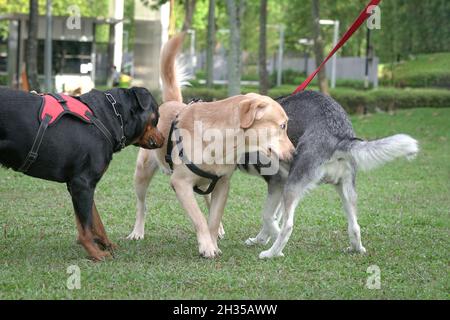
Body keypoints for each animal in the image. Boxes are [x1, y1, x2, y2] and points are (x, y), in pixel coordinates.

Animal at [0, 86, 165, 262]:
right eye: (157, 116)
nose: (163, 138)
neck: (111, 118)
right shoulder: (82, 183)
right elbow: (86, 227)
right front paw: (96, 253)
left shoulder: (79, 185)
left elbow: (94, 220)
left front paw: (106, 244)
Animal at [126, 33, 296, 258]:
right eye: (282, 126)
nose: (295, 153)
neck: (222, 142)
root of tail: (170, 103)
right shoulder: (180, 184)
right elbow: (198, 218)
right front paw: (206, 246)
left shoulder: (223, 183)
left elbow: (213, 219)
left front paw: (213, 241)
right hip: (142, 173)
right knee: (141, 204)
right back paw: (137, 231)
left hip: (208, 182)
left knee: (208, 201)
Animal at [241, 89, 420, 258]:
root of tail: (339, 136)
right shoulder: (280, 186)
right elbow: (272, 217)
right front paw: (260, 239)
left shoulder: (278, 182)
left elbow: (268, 216)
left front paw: (268, 239)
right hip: (345, 190)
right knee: (355, 226)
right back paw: (356, 249)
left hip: (293, 187)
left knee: (288, 226)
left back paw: (272, 253)